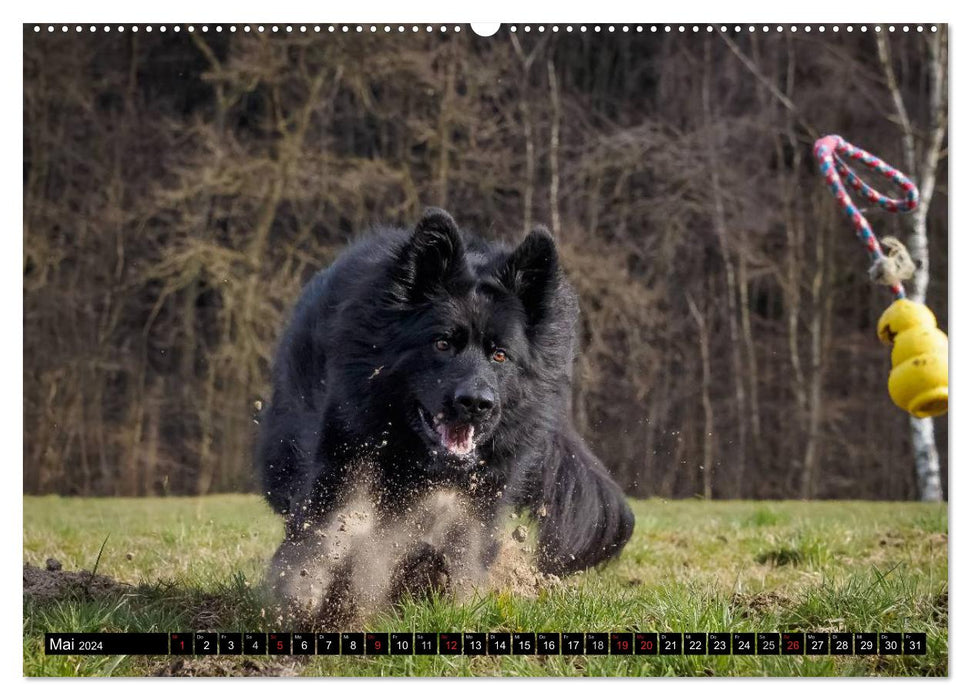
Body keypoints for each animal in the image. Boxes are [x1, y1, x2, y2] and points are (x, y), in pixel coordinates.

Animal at [258, 209, 636, 616]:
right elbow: (329, 523)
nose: (476, 404)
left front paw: (454, 596)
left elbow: (464, 543)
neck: (420, 456)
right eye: (441, 344)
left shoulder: (485, 489)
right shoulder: (346, 445)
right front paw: (304, 590)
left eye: (500, 354)